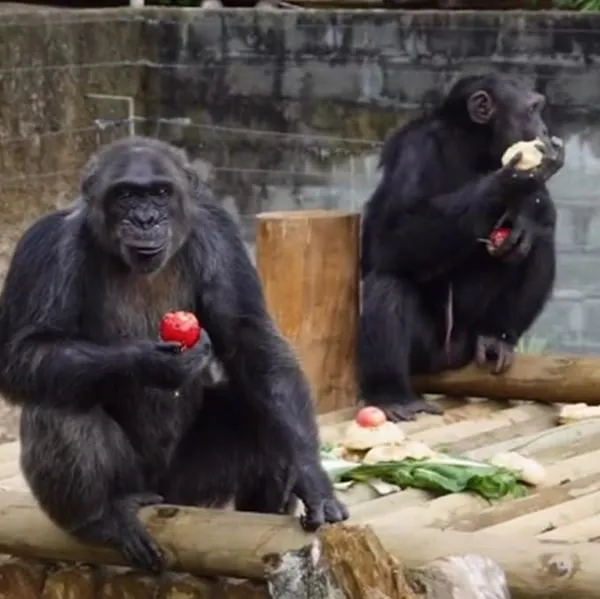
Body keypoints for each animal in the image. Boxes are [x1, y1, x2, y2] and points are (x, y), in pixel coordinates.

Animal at [0, 136, 350, 572]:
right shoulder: (45, 247)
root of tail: (167, 500)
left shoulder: (220, 236)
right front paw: (153, 362)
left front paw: (312, 476)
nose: (146, 218)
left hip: (190, 485)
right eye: (127, 195)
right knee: (57, 404)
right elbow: (23, 351)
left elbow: (252, 340)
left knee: (260, 411)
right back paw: (104, 518)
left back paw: (262, 523)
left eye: (160, 193)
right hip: (139, 485)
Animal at [358, 74, 564, 422]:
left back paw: (496, 337)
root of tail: (454, 357)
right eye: (532, 110)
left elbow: (539, 215)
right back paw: (393, 396)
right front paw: (510, 181)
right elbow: (389, 236)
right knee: (387, 285)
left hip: (473, 339)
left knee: (540, 243)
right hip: (429, 352)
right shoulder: (417, 152)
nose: (546, 130)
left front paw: (527, 213)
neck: (473, 145)